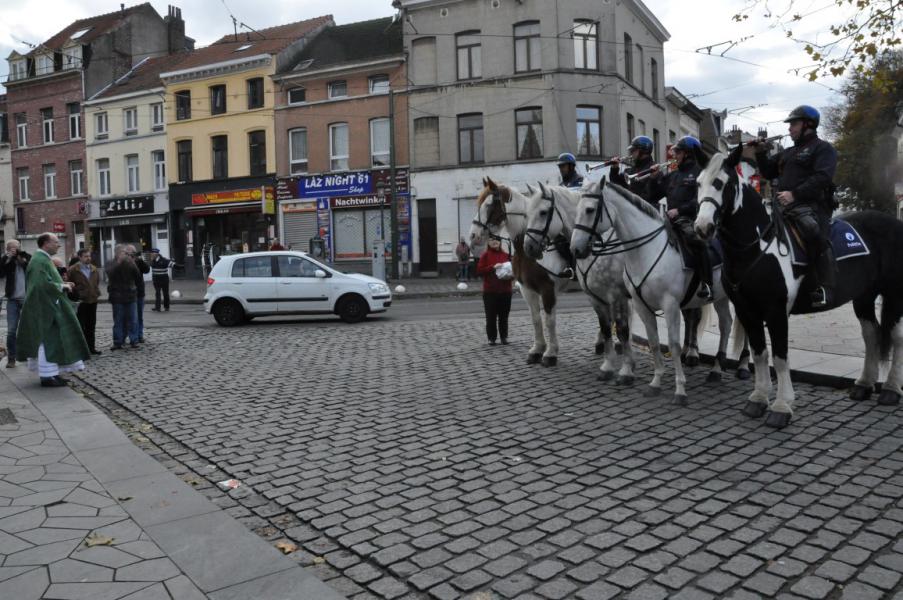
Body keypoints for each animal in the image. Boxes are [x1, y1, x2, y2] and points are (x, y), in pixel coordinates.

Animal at [524, 182, 636, 384]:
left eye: (543, 212)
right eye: (527, 213)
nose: (528, 247)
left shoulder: (617, 296)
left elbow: (621, 328)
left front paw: (626, 369)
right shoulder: (595, 296)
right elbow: (606, 327)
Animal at [572, 179, 740, 404]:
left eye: (589, 210)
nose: (575, 249)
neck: (645, 252)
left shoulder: (669, 305)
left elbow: (672, 344)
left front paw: (680, 389)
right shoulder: (640, 306)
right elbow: (653, 342)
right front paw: (655, 382)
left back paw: (736, 368)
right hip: (720, 297)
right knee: (725, 324)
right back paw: (715, 369)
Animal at [692, 144, 903, 426]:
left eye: (722, 183)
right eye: (698, 183)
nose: (702, 228)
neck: (758, 247)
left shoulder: (776, 311)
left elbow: (780, 358)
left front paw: (781, 406)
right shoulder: (747, 311)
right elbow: (760, 354)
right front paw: (758, 399)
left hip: (894, 293)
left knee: (896, 337)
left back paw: (891, 389)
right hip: (864, 296)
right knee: (871, 334)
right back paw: (864, 385)